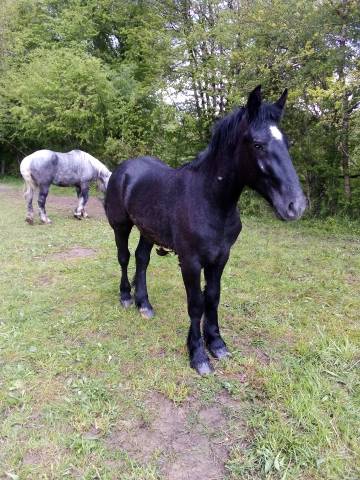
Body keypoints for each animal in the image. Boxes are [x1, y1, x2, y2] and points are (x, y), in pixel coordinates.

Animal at [105, 86, 306, 376]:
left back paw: (144, 304)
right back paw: (126, 297)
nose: (295, 206)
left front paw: (217, 344)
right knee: (124, 257)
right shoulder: (190, 261)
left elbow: (212, 297)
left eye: (287, 144)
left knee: (142, 260)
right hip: (121, 225)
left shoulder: (220, 257)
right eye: (258, 144)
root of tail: (124, 169)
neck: (209, 200)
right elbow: (196, 303)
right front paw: (198, 354)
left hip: (148, 230)